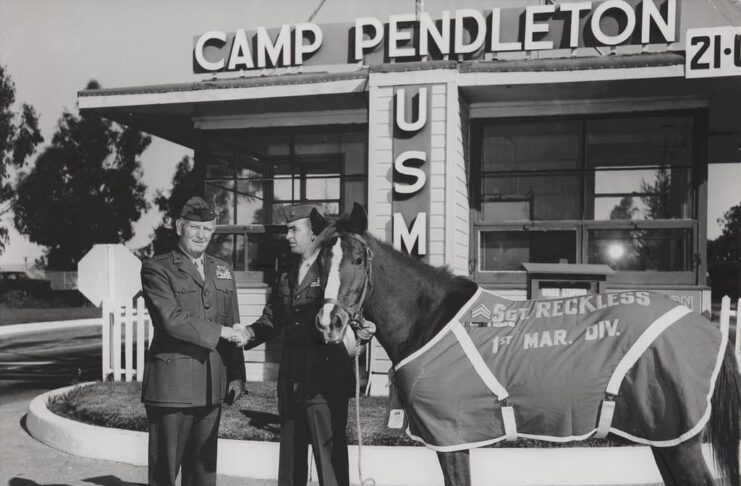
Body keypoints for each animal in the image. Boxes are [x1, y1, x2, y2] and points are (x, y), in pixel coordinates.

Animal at [310, 203, 741, 486]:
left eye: (359, 259)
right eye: (319, 263)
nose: (330, 321)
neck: (431, 320)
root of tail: (707, 326)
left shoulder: (451, 437)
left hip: (680, 439)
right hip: (663, 436)